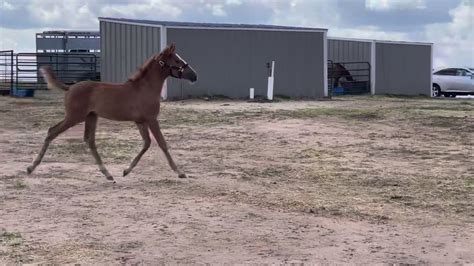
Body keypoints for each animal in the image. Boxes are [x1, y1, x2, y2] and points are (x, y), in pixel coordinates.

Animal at [26, 43, 197, 182]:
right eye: (176, 61)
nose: (194, 75)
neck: (145, 88)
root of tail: (70, 87)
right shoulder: (151, 119)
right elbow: (162, 143)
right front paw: (180, 172)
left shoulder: (140, 121)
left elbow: (147, 143)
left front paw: (126, 171)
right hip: (74, 117)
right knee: (52, 131)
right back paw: (31, 167)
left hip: (91, 117)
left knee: (89, 140)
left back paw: (107, 174)